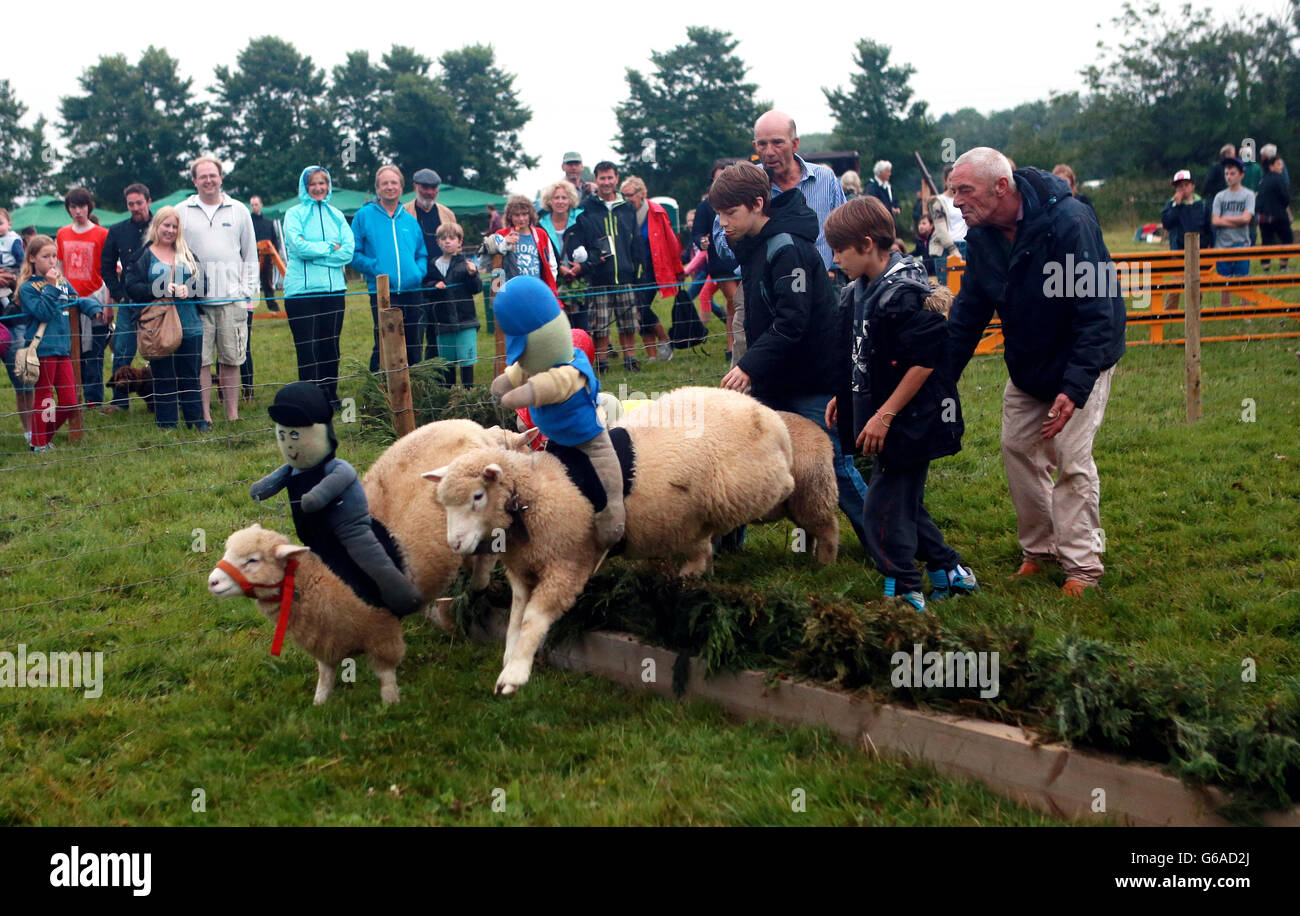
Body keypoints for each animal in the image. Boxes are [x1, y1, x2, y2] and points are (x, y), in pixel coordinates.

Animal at [426, 384, 790, 691]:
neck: (537, 492)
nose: (454, 544)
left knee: (782, 486)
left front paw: (515, 675)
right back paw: (692, 574)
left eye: (477, 497)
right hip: (687, 519)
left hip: (745, 485)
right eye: (445, 504)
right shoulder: (523, 572)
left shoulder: (567, 565)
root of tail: (767, 415)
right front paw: (510, 659)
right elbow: (516, 620)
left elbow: (533, 620)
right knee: (700, 544)